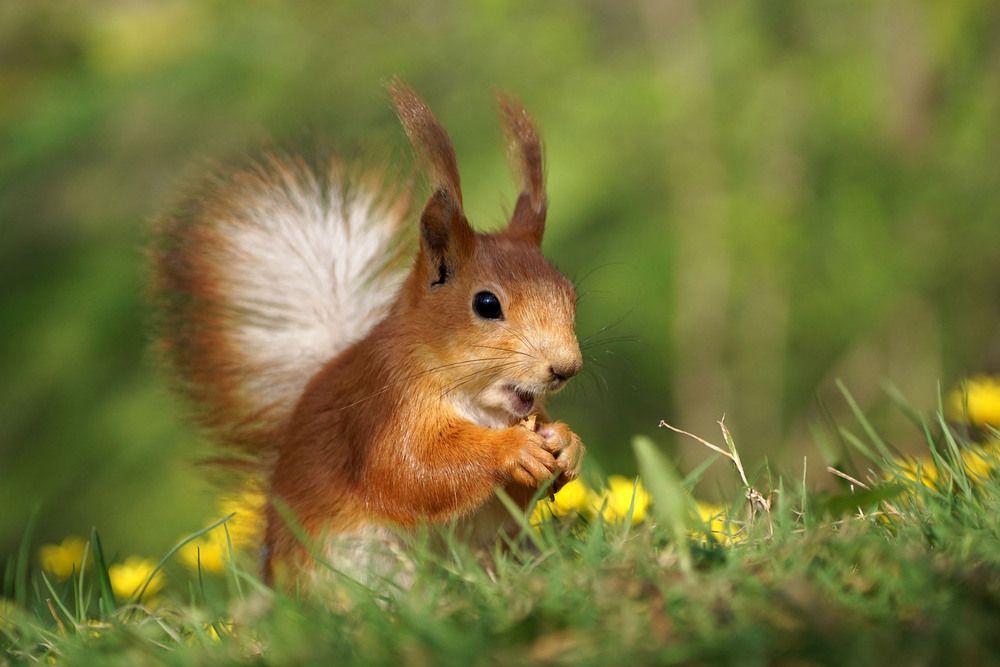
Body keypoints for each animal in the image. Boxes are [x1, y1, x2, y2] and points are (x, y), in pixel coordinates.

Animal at [151, 81, 585, 582]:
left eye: (569, 294)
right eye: (487, 304)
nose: (566, 367)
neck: (478, 407)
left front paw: (567, 443)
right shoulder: (379, 411)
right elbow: (412, 471)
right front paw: (513, 450)